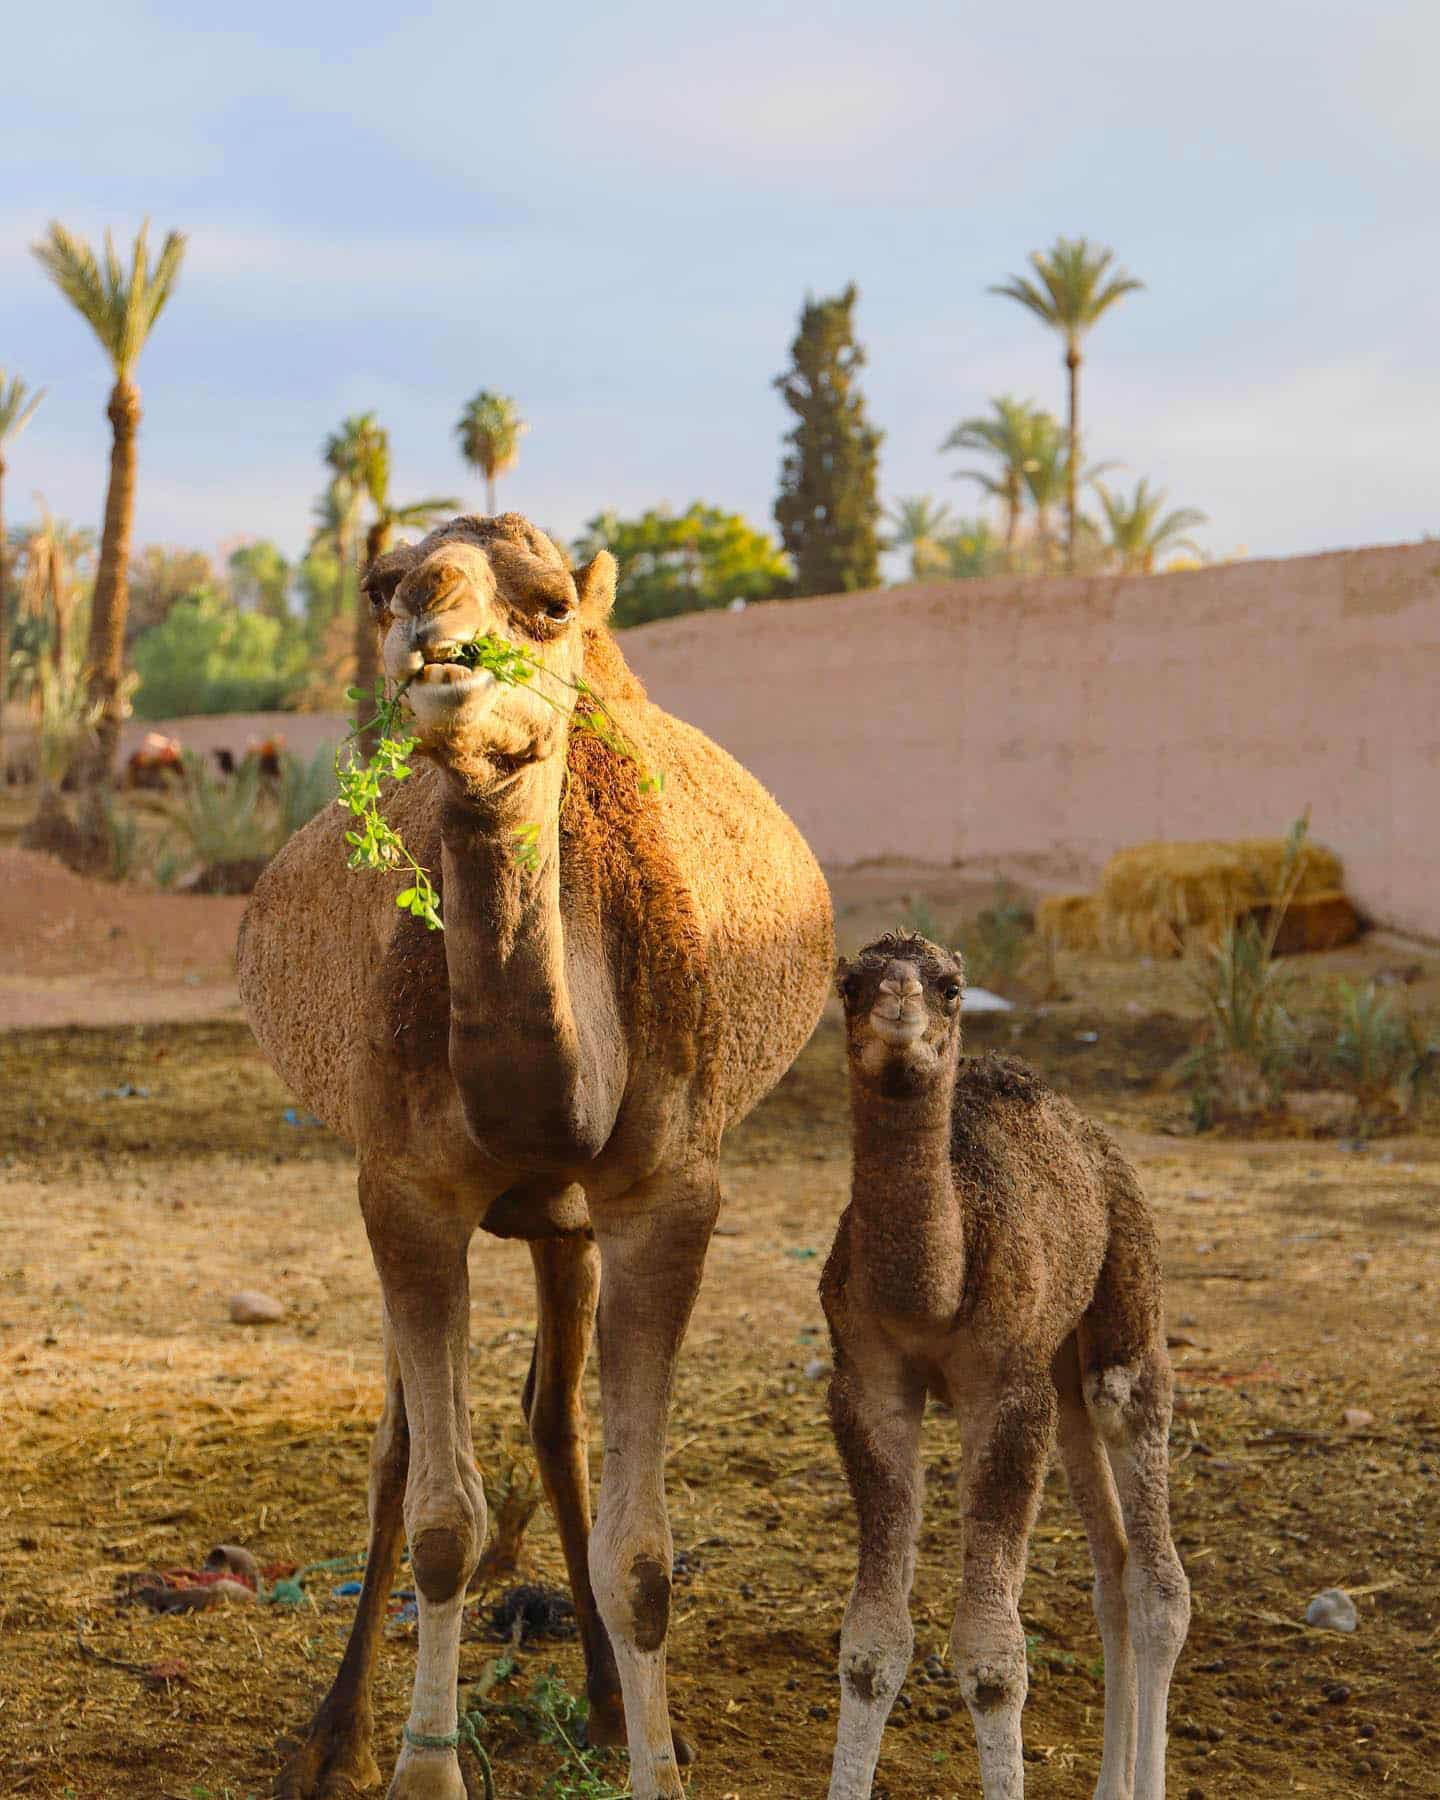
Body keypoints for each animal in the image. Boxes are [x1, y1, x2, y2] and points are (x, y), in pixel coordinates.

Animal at [237, 514, 831, 1792]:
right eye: (384, 587)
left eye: (550, 607)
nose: (435, 633)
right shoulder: (405, 1191)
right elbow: (440, 1516)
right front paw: (419, 1767)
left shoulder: (667, 1194)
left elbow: (643, 1551)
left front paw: (657, 1762)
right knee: (408, 1449)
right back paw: (335, 1735)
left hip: (568, 1224)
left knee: (554, 1416)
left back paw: (608, 1704)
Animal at [820, 936, 1195, 1792]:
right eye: (850, 984)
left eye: (952, 987)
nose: (899, 999)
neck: (931, 1295)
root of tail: (1090, 1132)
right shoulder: (867, 1387)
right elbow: (871, 1646)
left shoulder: (1004, 1392)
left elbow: (993, 1659)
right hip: (1057, 1367)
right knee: (1112, 1570)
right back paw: (1108, 1788)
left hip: (1126, 1300)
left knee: (1157, 1579)